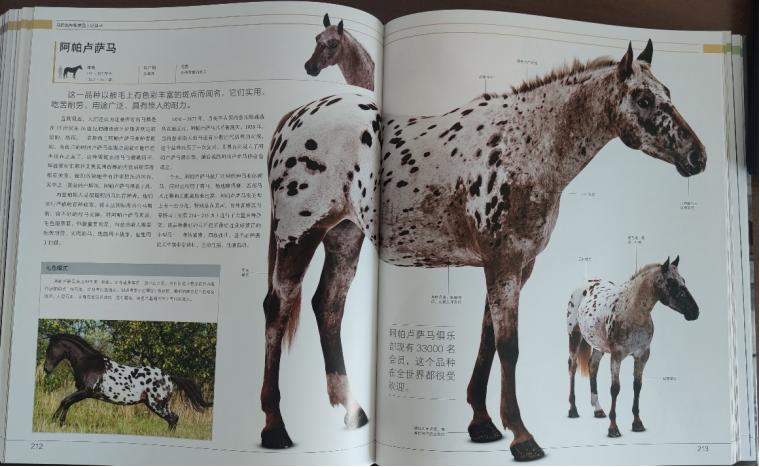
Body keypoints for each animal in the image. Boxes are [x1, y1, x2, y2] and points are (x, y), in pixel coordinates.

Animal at [42, 333, 212, 430]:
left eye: (51, 349)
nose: (46, 369)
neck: (89, 364)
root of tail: (170, 377)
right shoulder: (83, 392)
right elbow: (67, 403)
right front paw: (59, 422)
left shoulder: (86, 392)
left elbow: (65, 401)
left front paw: (56, 422)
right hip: (156, 404)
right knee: (173, 419)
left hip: (157, 404)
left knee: (173, 419)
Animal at [566, 257, 698, 438]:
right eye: (671, 282)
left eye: (683, 280)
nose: (695, 312)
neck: (631, 311)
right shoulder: (616, 355)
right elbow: (615, 389)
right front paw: (613, 428)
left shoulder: (642, 355)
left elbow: (637, 386)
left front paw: (637, 424)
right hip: (574, 336)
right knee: (572, 367)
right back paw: (573, 410)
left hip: (599, 346)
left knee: (593, 367)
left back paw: (598, 410)